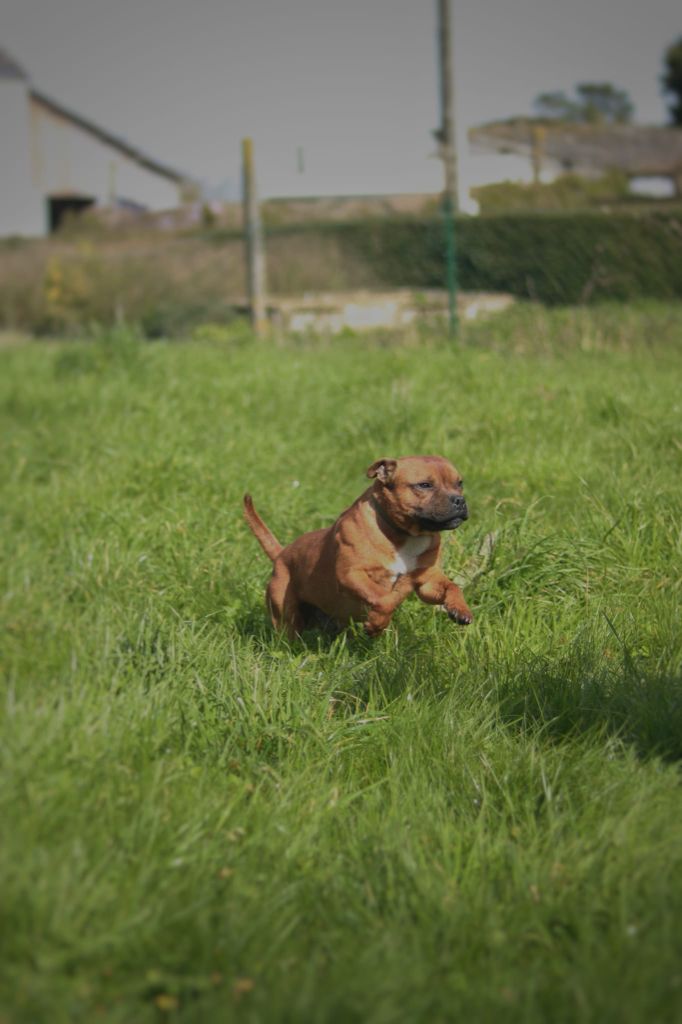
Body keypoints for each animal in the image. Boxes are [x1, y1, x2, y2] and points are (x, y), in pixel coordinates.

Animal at [244, 458, 473, 638]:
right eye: (424, 485)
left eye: (459, 483)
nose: (460, 500)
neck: (403, 534)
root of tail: (281, 554)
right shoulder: (351, 574)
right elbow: (384, 599)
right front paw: (375, 625)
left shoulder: (427, 581)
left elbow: (452, 586)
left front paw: (460, 609)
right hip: (286, 615)